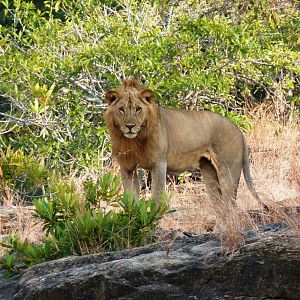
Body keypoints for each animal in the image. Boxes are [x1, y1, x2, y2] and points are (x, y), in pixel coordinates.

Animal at [104, 78, 264, 207]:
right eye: (121, 109)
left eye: (138, 109)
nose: (130, 126)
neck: (134, 140)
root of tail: (238, 129)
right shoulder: (127, 167)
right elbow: (131, 200)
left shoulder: (159, 164)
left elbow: (156, 196)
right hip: (209, 170)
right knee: (220, 206)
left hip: (229, 171)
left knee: (231, 207)